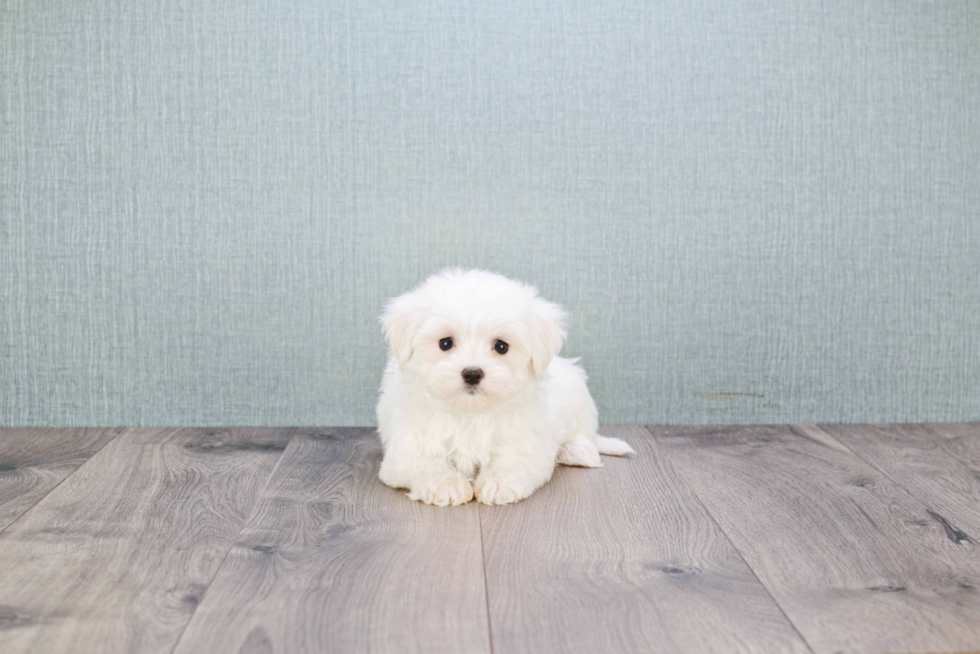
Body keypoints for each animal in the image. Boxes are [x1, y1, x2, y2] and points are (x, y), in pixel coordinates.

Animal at [376, 270, 636, 510]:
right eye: (445, 343)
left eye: (501, 346)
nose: (472, 373)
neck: (470, 412)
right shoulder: (409, 441)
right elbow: (422, 460)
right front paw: (445, 484)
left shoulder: (525, 434)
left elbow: (514, 458)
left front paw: (498, 483)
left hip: (578, 397)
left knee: (583, 434)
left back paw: (577, 451)